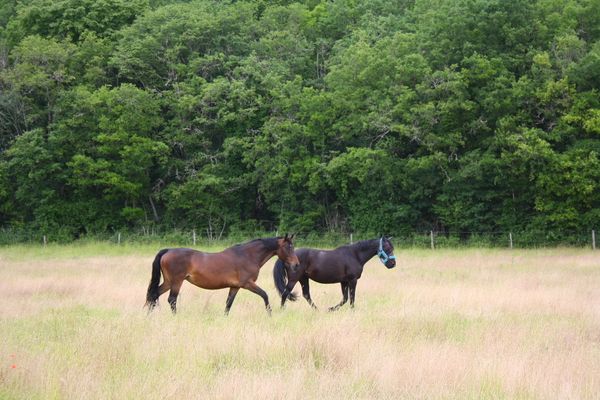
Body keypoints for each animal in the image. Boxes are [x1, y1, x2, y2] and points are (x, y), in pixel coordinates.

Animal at [146, 234, 300, 316]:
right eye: (288, 247)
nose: (296, 265)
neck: (247, 256)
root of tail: (168, 251)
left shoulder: (235, 287)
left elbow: (228, 304)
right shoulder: (248, 284)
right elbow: (264, 295)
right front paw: (270, 314)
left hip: (168, 282)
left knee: (154, 294)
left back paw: (149, 316)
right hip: (177, 282)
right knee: (172, 299)